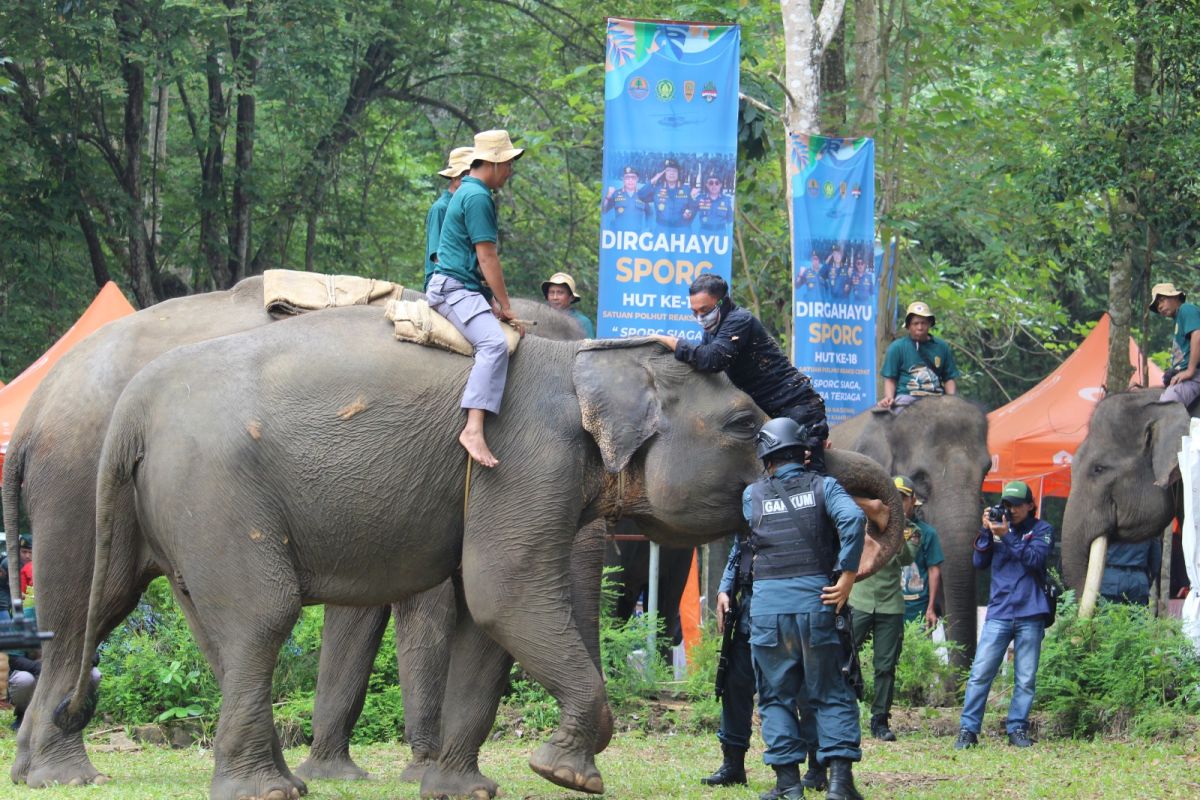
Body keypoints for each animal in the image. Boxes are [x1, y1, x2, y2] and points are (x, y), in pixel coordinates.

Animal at [0, 273, 580, 786]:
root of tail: (31, 413)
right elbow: (419, 608)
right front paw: (411, 773)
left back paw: (34, 769)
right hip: (80, 488)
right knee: (83, 611)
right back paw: (67, 775)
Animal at [58, 307, 902, 800]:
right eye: (741, 424)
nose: (876, 525)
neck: (583, 358)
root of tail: (132, 406)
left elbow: (483, 617)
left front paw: (466, 791)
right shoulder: (519, 458)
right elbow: (505, 594)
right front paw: (565, 775)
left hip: (182, 508)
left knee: (195, 623)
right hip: (218, 491)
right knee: (262, 619)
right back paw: (266, 791)